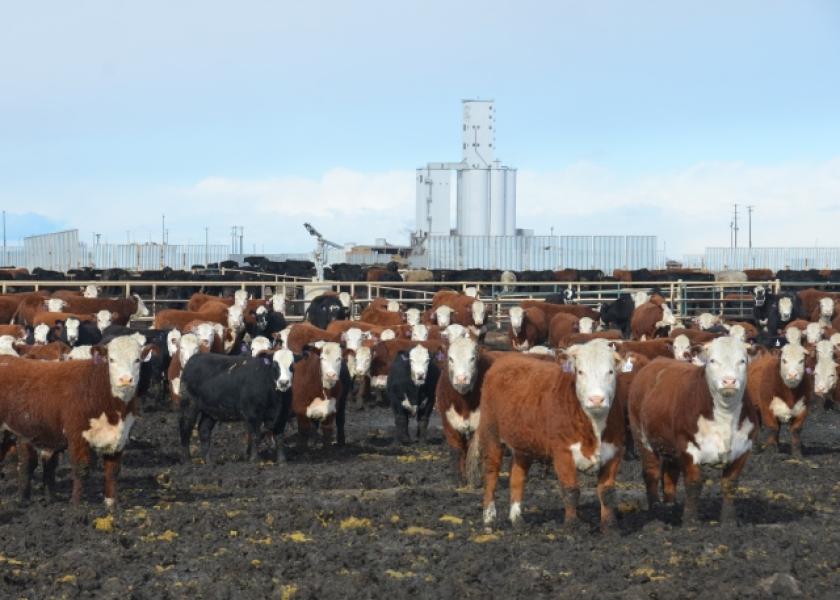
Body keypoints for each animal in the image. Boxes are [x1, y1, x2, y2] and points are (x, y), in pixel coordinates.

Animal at [0, 336, 151, 507]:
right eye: (111, 359)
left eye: (137, 360)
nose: (126, 379)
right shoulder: (77, 435)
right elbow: (81, 468)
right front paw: (76, 506)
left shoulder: (120, 437)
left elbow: (112, 471)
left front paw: (112, 504)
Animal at [477, 339, 625, 531]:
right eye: (580, 371)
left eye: (610, 371)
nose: (596, 399)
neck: (595, 425)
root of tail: (505, 360)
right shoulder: (562, 453)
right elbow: (571, 490)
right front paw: (572, 527)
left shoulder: (614, 452)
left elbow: (607, 493)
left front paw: (610, 527)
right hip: (491, 434)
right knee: (491, 474)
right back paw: (489, 518)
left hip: (524, 444)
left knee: (517, 477)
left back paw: (517, 519)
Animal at [627, 337, 758, 524]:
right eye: (712, 360)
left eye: (742, 360)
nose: (729, 381)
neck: (725, 416)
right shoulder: (688, 445)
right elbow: (694, 483)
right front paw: (690, 522)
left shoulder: (744, 448)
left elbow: (730, 484)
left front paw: (729, 521)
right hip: (642, 436)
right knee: (651, 472)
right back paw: (655, 509)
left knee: (670, 472)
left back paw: (671, 505)